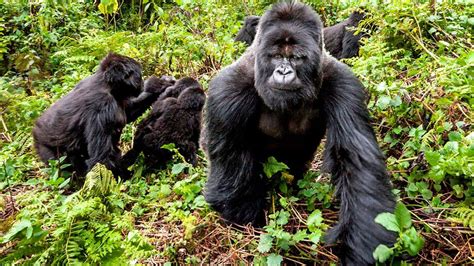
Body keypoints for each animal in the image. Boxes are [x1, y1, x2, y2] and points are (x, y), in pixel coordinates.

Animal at [32, 53, 175, 180]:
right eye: (138, 75)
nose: (142, 83)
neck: (106, 84)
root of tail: (35, 127)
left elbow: (129, 112)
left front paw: (158, 86)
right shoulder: (102, 107)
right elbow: (101, 158)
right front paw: (127, 176)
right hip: (45, 148)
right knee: (62, 167)